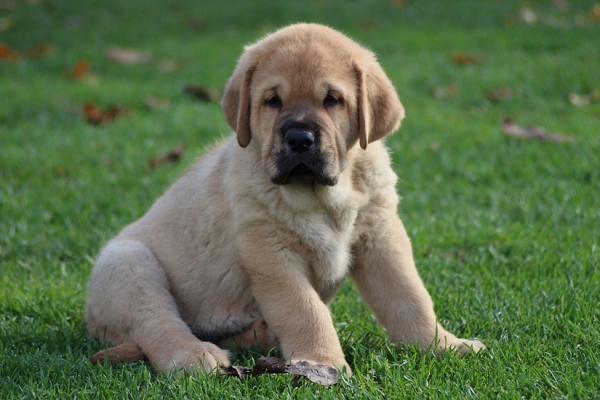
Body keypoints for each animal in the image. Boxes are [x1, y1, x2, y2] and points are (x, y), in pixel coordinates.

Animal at [86, 23, 486, 376]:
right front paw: (323, 363)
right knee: (158, 323)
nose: (299, 139)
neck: (325, 196)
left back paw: (259, 335)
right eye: (273, 101)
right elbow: (305, 311)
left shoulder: (381, 237)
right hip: (128, 263)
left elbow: (411, 299)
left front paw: (443, 345)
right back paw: (195, 355)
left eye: (332, 100)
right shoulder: (270, 250)